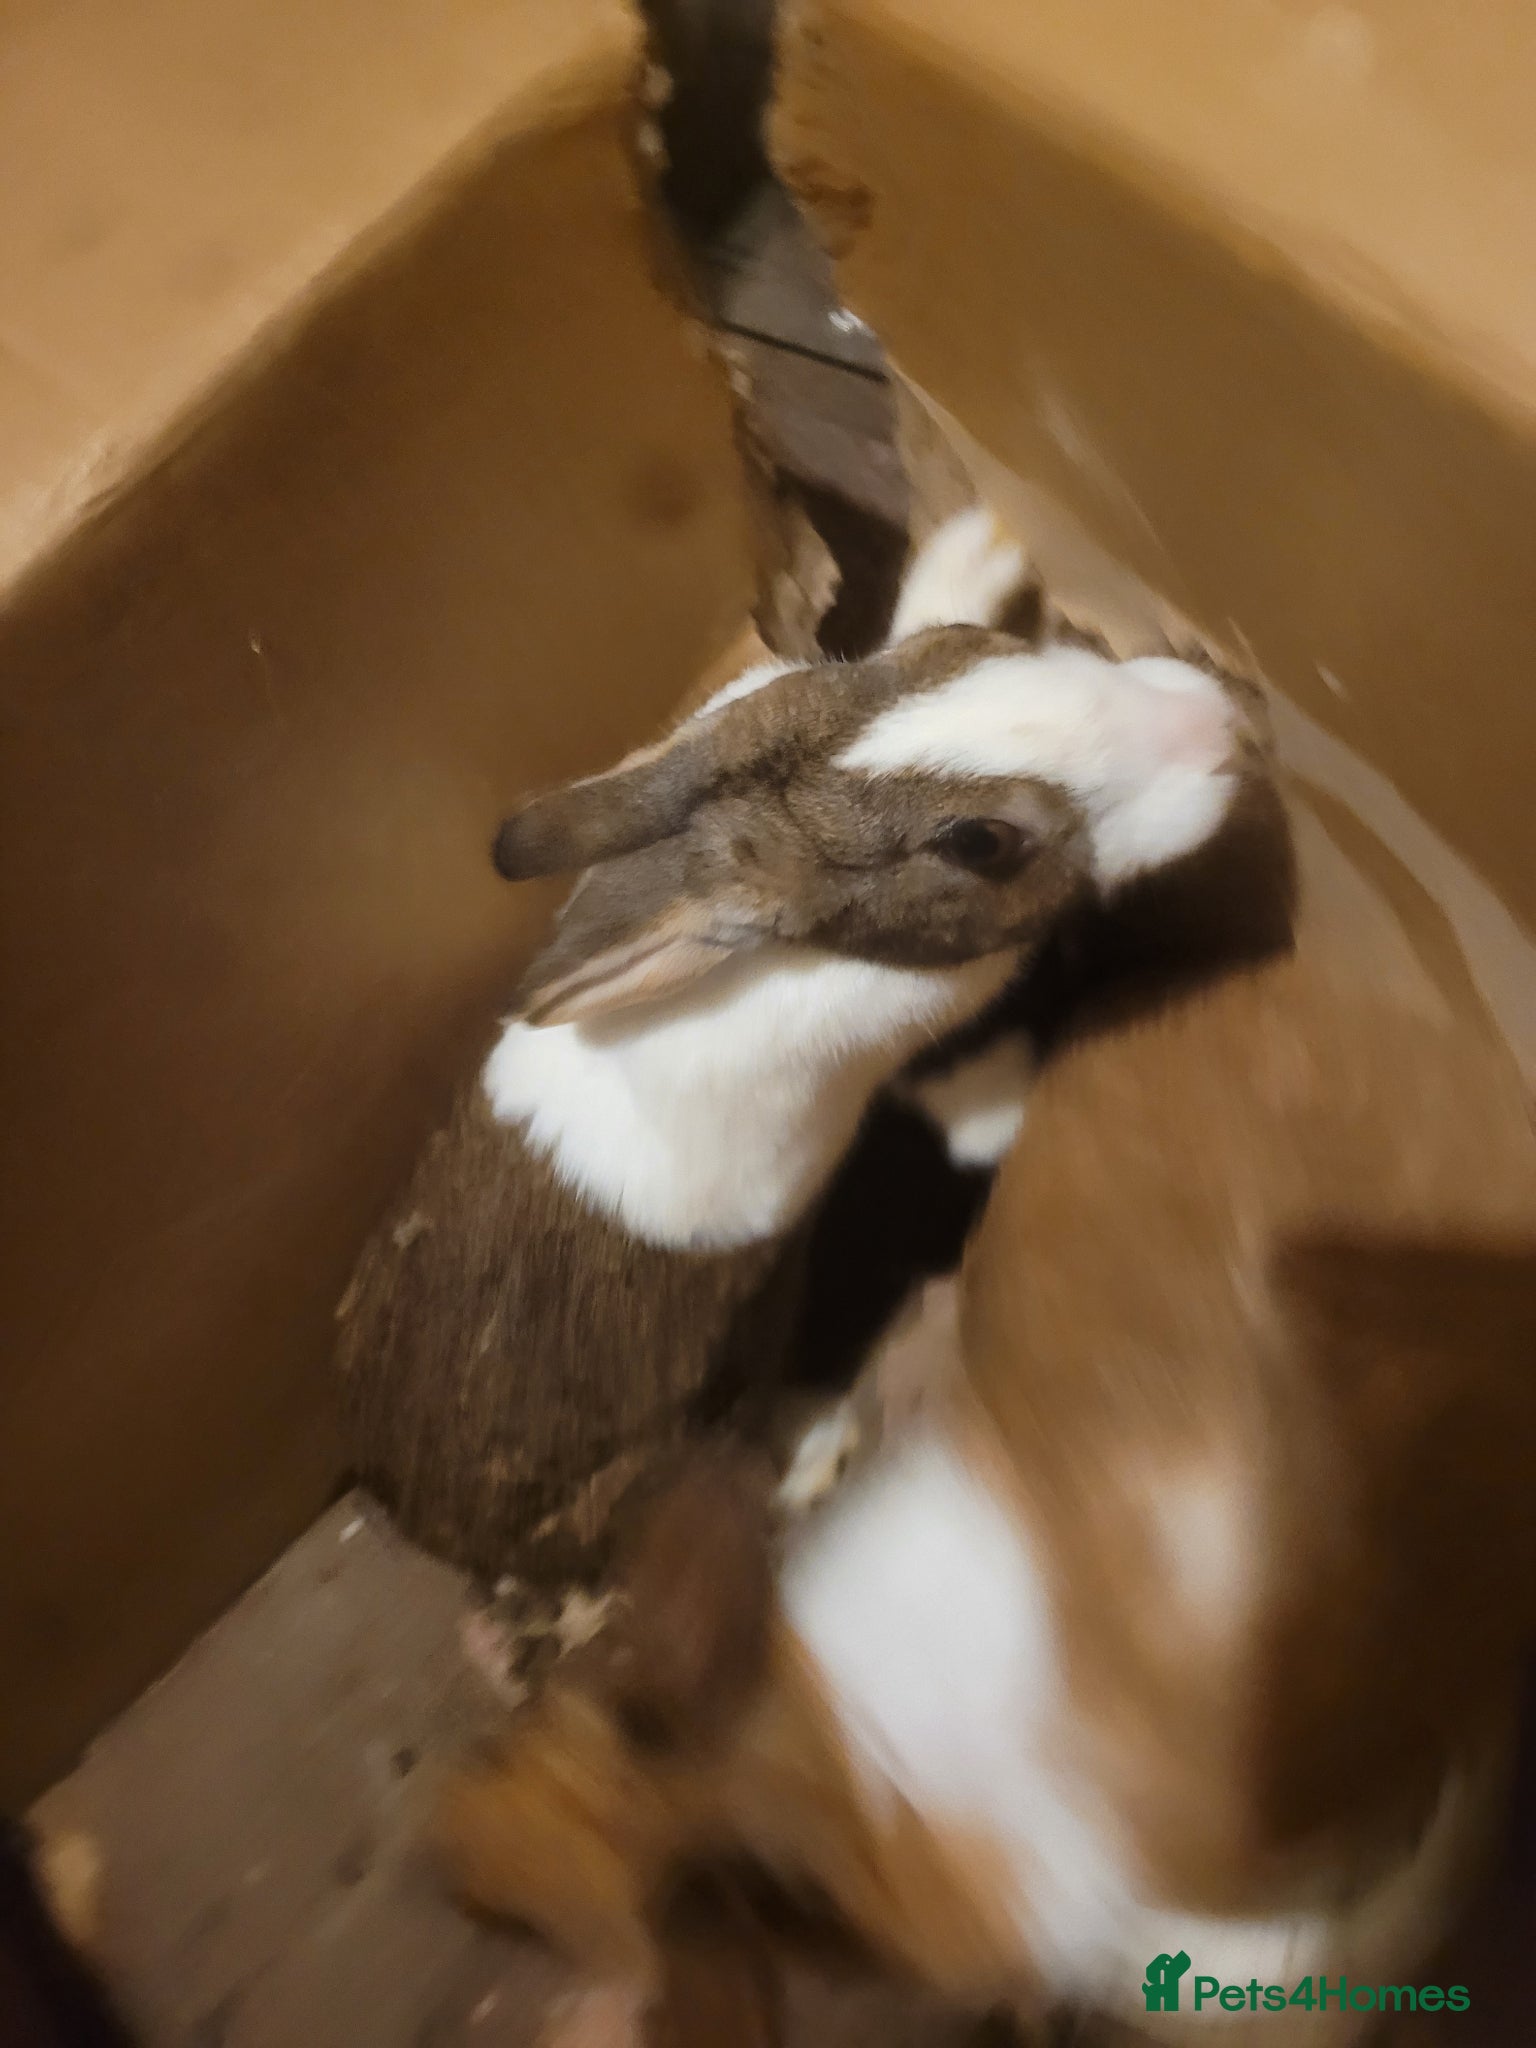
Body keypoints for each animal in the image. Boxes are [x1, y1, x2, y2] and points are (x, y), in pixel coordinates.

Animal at [336, 509, 1253, 1597]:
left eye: (964, 652)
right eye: (981, 842)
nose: (1218, 725)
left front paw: (977, 548)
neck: (819, 944)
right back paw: (816, 1452)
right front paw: (1009, 1099)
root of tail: (414, 1515)